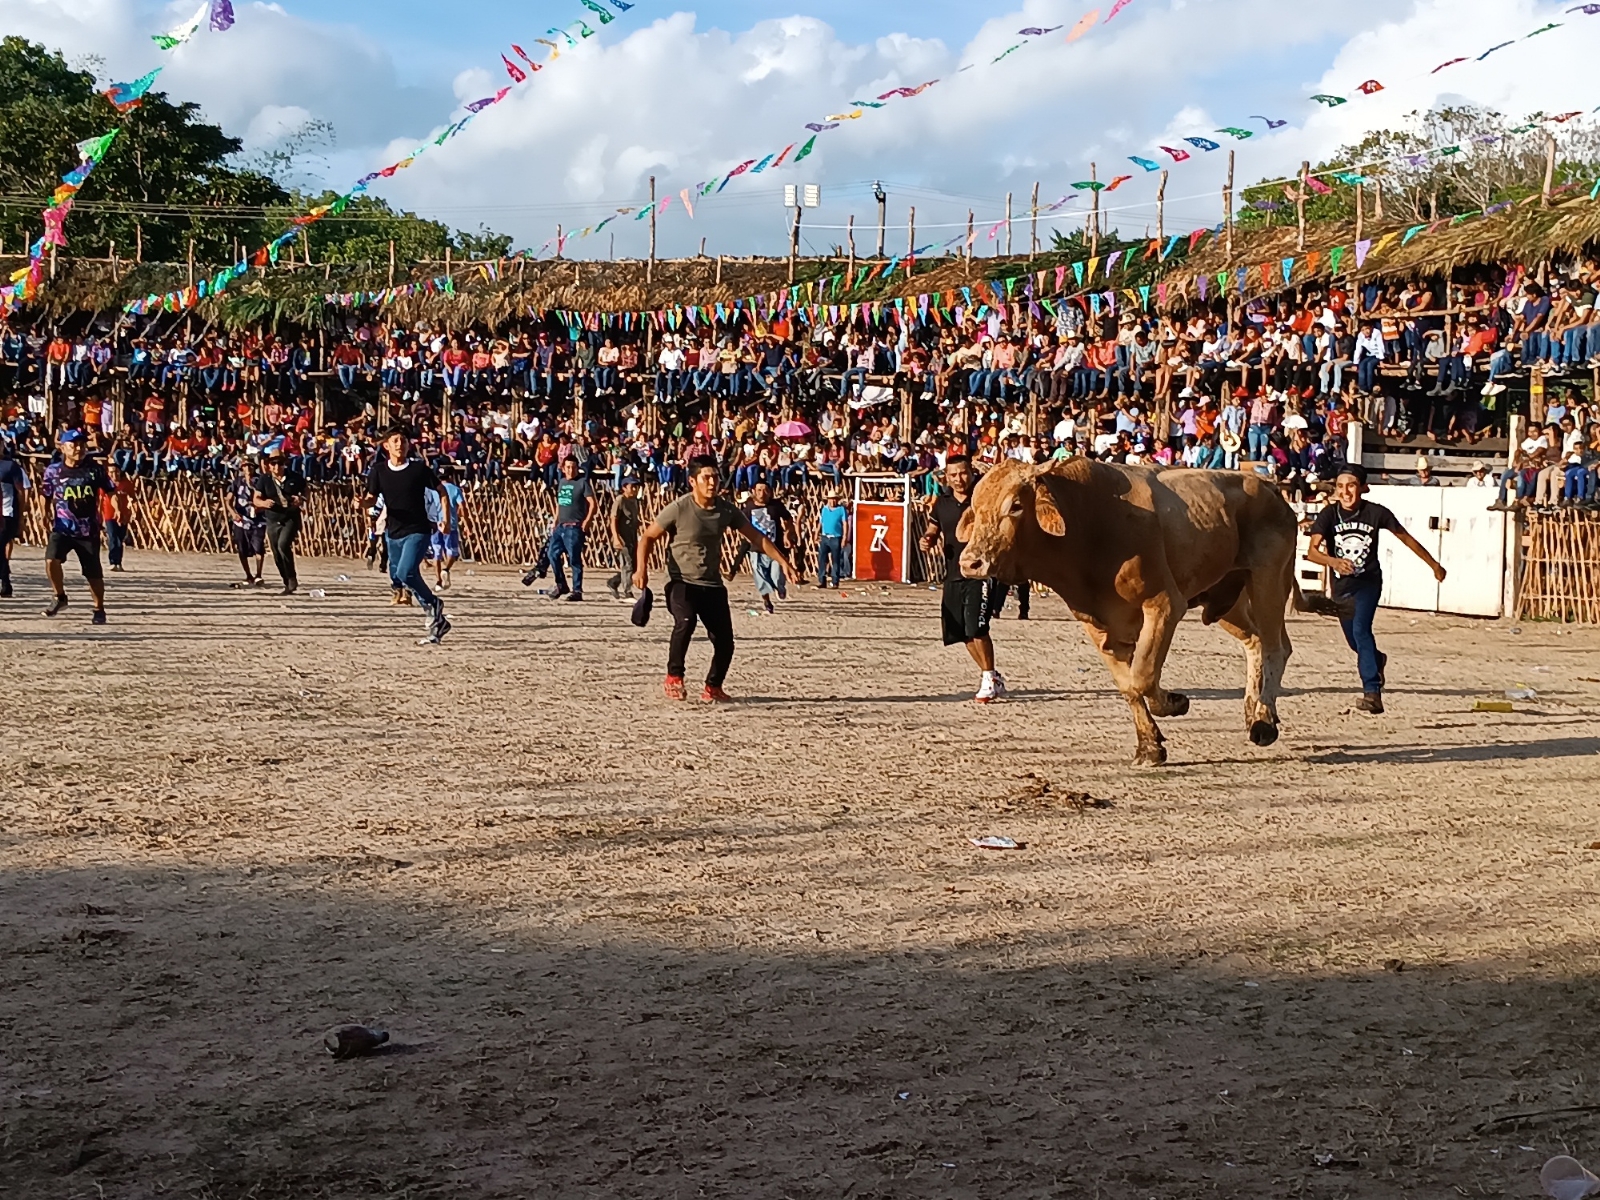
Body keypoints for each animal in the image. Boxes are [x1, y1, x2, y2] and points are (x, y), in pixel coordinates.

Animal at [953, 454, 1331, 764]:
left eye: (1015, 505)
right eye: (975, 505)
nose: (971, 562)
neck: (1088, 522)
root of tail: (1270, 488)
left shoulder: (1163, 604)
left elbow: (1144, 674)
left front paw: (1175, 703)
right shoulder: (1096, 623)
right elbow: (1128, 684)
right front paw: (1150, 745)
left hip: (1268, 579)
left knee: (1274, 647)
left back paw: (1264, 720)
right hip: (1229, 597)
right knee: (1254, 642)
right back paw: (1253, 711)